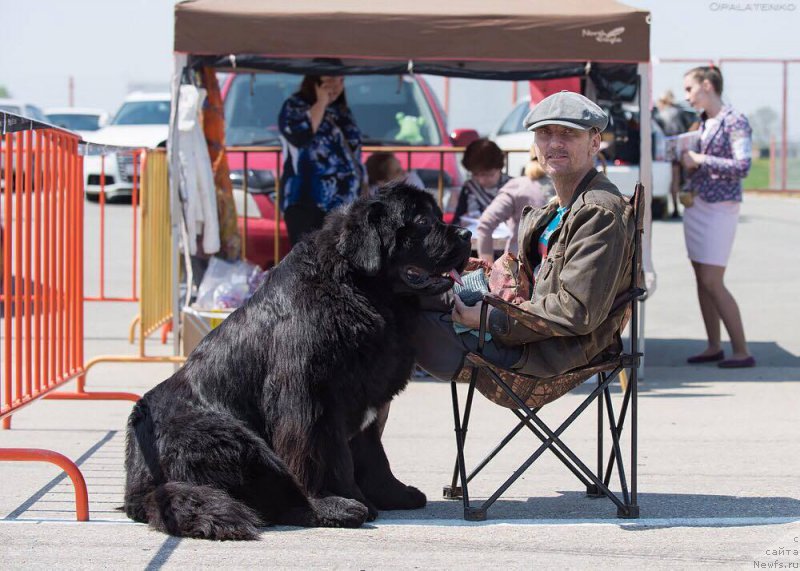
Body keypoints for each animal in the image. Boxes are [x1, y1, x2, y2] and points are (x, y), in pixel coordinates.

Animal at [122, 184, 472, 540]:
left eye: (437, 215)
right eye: (422, 221)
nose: (467, 233)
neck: (357, 288)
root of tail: (140, 486)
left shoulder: (367, 400)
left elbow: (373, 453)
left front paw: (393, 493)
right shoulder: (311, 399)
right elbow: (326, 456)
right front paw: (348, 497)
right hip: (235, 441)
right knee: (281, 499)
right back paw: (339, 509)